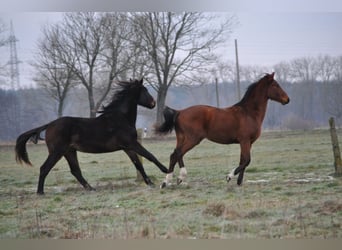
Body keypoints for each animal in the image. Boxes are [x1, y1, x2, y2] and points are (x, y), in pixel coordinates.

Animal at [16, 79, 168, 194]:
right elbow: (150, 156)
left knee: (75, 171)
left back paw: (91, 188)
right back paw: (40, 192)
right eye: (144, 90)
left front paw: (150, 182)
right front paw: (166, 170)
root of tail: (49, 125)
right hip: (57, 152)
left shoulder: (128, 147)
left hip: (69, 151)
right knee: (45, 168)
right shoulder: (131, 143)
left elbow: (138, 164)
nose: (153, 103)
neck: (121, 118)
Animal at [156, 72, 290, 188]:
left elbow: (243, 160)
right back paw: (171, 180)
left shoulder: (248, 142)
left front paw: (239, 182)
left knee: (176, 154)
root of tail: (179, 112)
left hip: (182, 138)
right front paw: (229, 177)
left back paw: (173, 180)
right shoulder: (245, 140)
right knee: (177, 154)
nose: (287, 99)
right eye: (275, 85)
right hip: (193, 139)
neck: (249, 113)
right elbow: (247, 160)